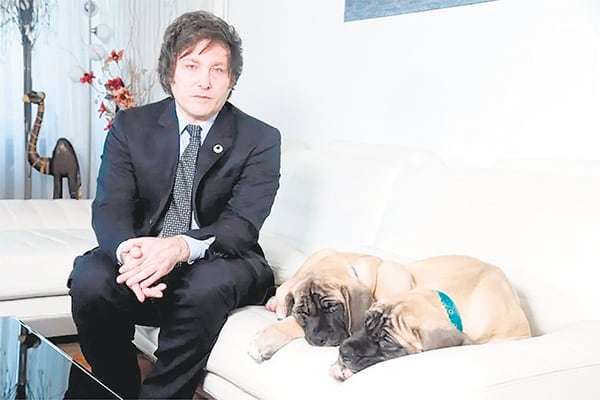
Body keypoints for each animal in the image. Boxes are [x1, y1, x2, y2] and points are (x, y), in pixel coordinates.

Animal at [247, 248, 414, 362]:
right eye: (303, 313)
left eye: (334, 308)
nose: (320, 339)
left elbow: (290, 323)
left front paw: (263, 340)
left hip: (390, 272)